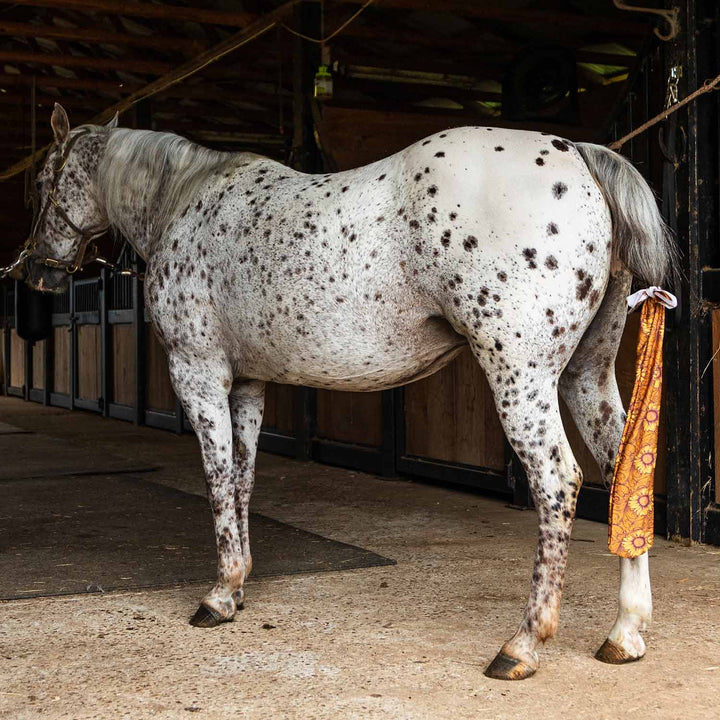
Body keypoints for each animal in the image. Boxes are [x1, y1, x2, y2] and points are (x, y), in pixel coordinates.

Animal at [23, 103, 676, 680]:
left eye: (43, 181)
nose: (36, 271)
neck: (185, 201)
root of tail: (579, 156)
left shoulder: (199, 372)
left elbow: (216, 477)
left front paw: (218, 594)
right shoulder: (249, 384)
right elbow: (242, 477)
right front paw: (240, 585)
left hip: (521, 377)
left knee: (558, 483)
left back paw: (523, 644)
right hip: (586, 375)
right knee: (623, 471)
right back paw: (625, 633)